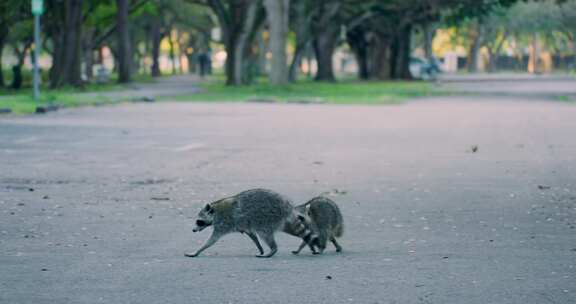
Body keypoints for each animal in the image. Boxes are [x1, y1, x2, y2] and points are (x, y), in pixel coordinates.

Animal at [187, 189, 318, 258]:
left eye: (199, 221)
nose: (193, 230)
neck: (215, 211)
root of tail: (287, 206)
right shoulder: (244, 225)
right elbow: (252, 235)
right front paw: (260, 248)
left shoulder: (223, 223)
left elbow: (212, 239)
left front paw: (198, 250)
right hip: (279, 220)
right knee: (294, 230)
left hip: (268, 217)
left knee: (264, 233)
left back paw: (273, 250)